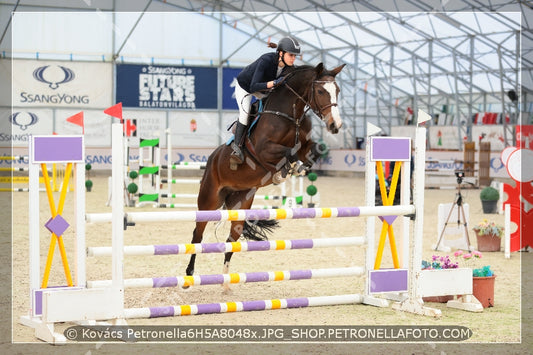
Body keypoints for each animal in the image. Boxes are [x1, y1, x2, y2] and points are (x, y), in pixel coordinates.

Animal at [186, 62, 344, 290]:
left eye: (337, 90)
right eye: (321, 91)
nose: (335, 126)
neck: (290, 113)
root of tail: (212, 159)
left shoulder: (306, 145)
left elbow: (310, 150)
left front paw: (297, 168)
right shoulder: (263, 149)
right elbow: (289, 152)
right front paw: (286, 170)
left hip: (240, 203)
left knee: (232, 239)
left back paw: (225, 283)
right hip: (209, 200)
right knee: (197, 235)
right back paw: (188, 276)